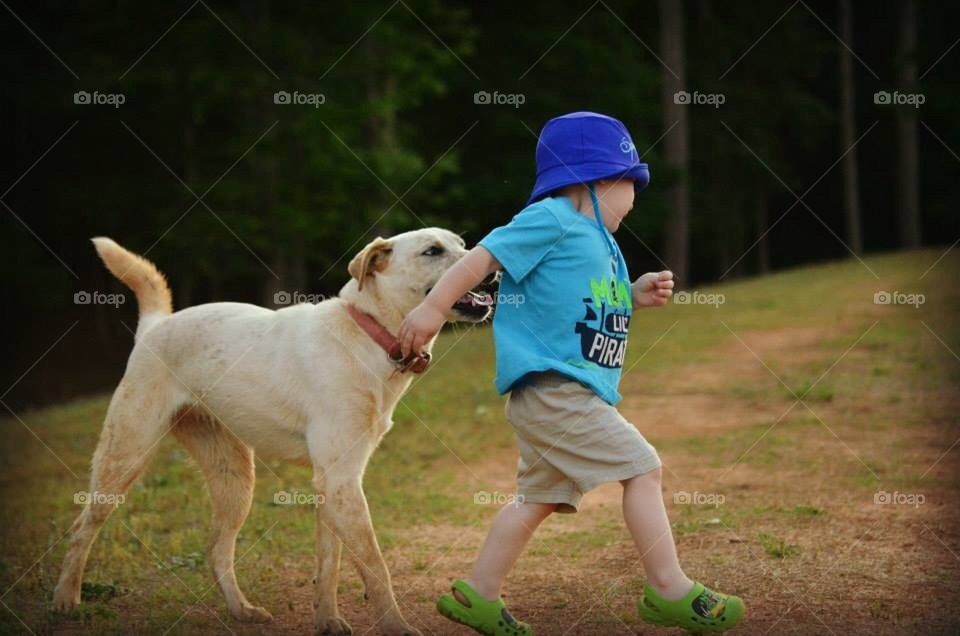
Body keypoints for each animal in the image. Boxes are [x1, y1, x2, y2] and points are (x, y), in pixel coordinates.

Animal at [53, 229, 492, 636]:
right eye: (432, 251)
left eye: (461, 243)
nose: (493, 269)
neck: (368, 334)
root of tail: (154, 327)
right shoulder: (341, 482)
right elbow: (374, 567)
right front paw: (396, 627)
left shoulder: (333, 485)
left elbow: (329, 565)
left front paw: (328, 622)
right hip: (124, 459)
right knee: (80, 530)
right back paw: (65, 602)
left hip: (235, 479)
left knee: (216, 550)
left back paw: (241, 610)